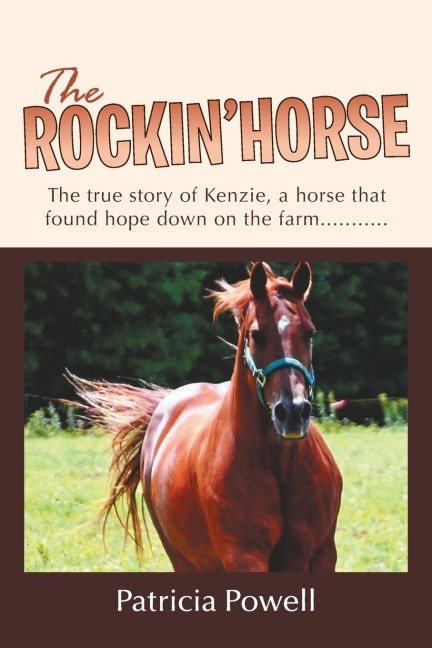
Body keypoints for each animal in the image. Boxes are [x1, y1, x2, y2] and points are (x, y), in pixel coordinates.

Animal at [72, 261, 342, 572]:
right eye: (256, 335)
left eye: (309, 333)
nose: (293, 412)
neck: (279, 465)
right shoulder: (243, 556)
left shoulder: (321, 554)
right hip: (183, 558)